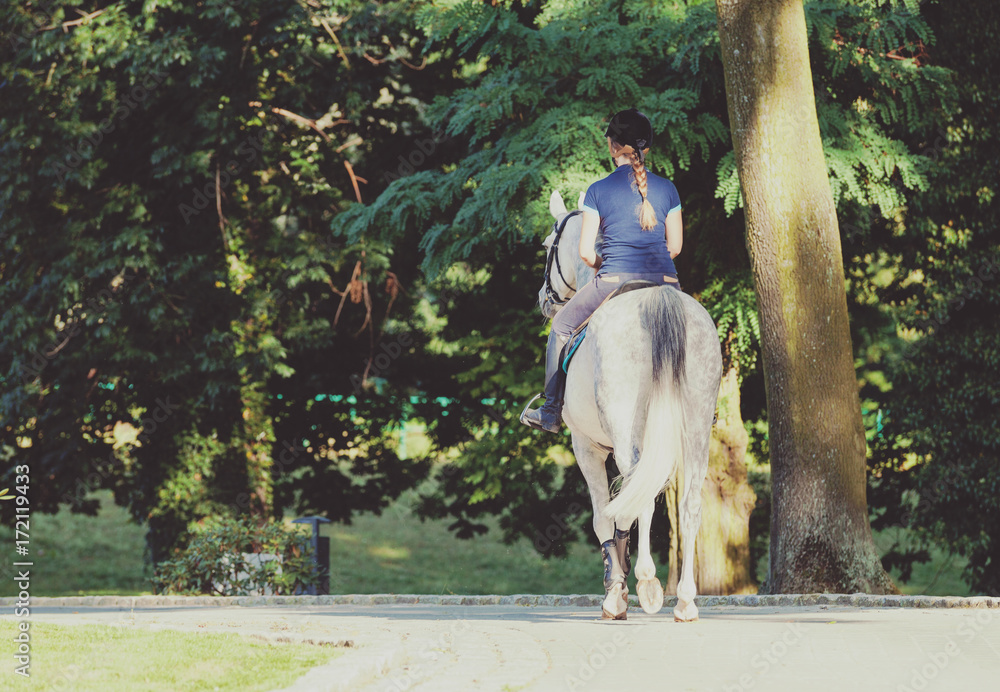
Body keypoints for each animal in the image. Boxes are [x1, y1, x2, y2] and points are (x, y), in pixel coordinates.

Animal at [540, 191, 720, 620]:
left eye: (546, 246)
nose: (543, 301)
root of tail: (659, 298)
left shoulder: (586, 447)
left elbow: (604, 517)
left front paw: (616, 592)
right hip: (695, 435)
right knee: (688, 505)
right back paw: (685, 600)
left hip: (625, 435)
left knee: (643, 499)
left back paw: (648, 582)